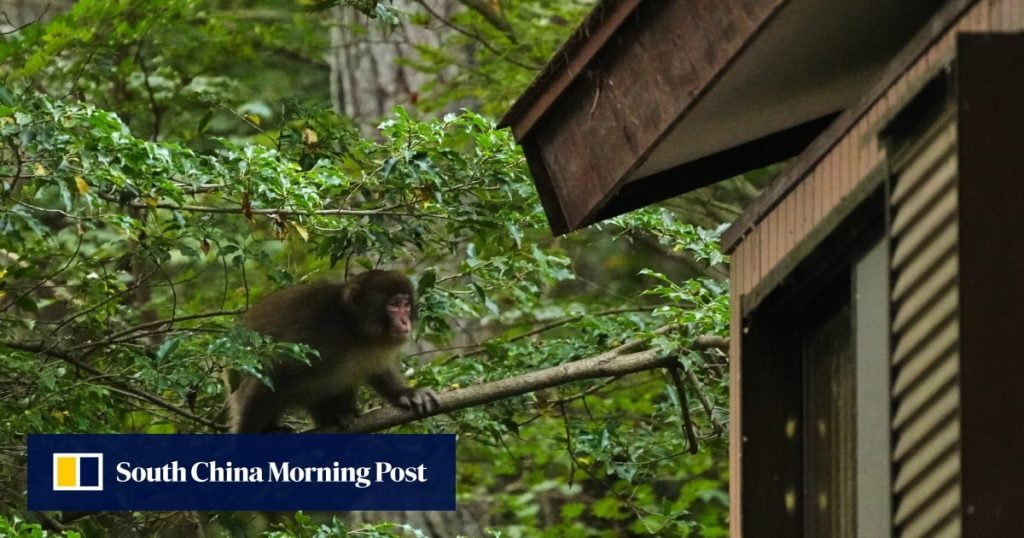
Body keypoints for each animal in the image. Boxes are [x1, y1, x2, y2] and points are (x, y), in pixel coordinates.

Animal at [228, 270, 438, 433]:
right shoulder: (317, 335)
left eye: (406, 305)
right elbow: (275, 371)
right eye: (393, 305)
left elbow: (378, 370)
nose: (405, 321)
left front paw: (405, 393)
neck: (354, 330)